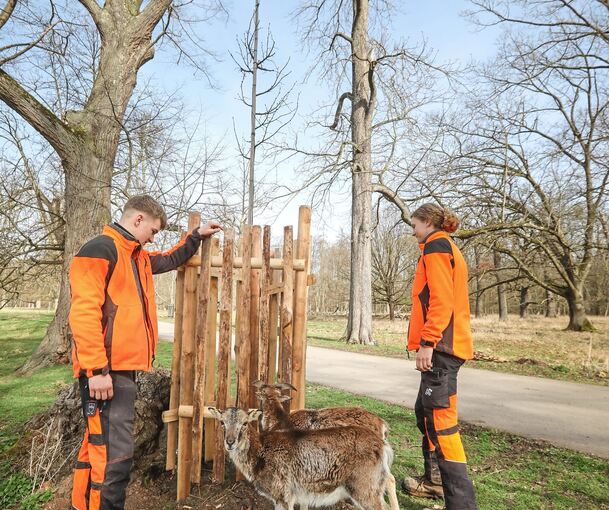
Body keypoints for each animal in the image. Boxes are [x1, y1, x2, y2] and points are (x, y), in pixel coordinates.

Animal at [209, 406, 400, 510]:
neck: (259, 456)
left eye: (245, 423)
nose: (230, 442)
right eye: (222, 422)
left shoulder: (284, 494)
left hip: (364, 489)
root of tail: (384, 445)